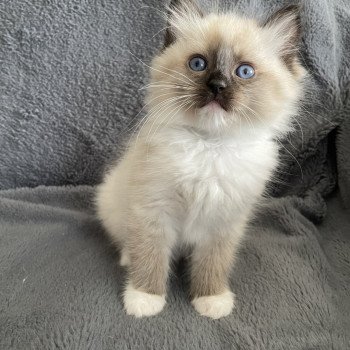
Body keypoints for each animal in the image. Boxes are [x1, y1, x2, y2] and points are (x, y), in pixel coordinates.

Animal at [95, 0, 304, 318]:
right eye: (198, 64)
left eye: (244, 71)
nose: (217, 85)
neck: (210, 145)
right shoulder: (153, 210)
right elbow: (150, 255)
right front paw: (145, 298)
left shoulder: (224, 220)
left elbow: (212, 264)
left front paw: (211, 299)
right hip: (113, 205)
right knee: (128, 242)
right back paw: (128, 258)